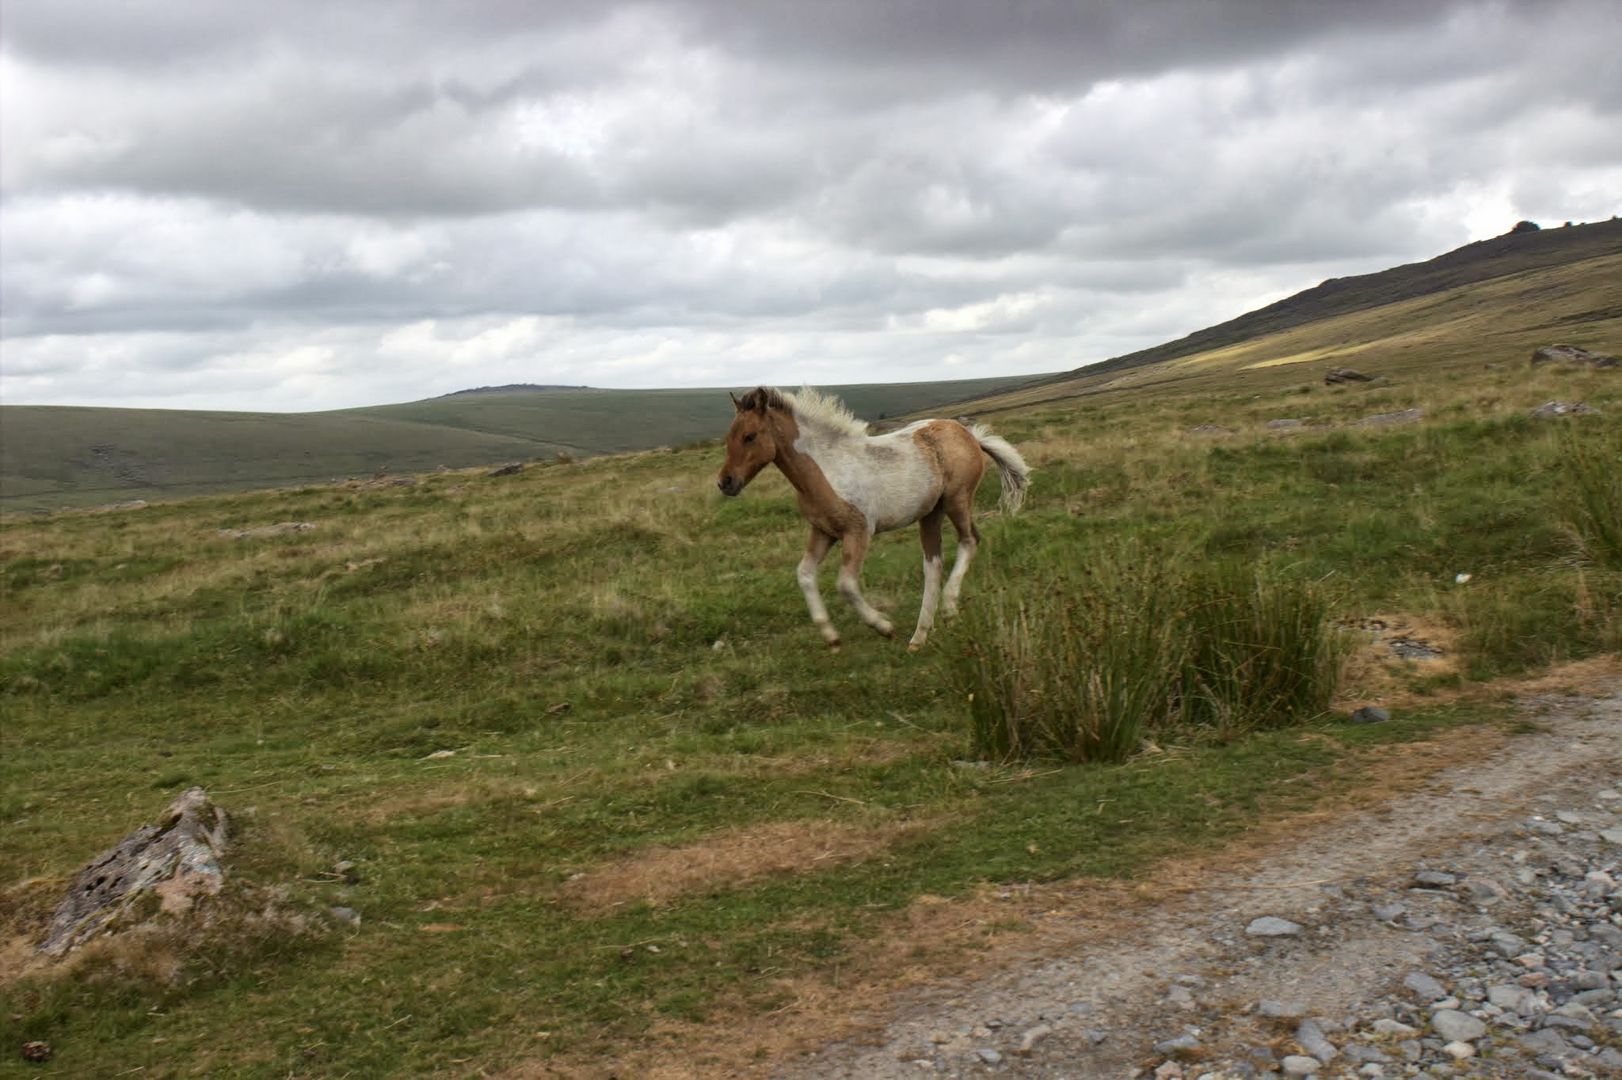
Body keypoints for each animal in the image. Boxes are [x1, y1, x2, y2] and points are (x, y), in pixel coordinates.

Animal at [720, 390, 1031, 651]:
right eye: (728, 438)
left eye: (750, 436)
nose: (725, 483)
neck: (826, 468)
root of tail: (969, 435)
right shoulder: (822, 531)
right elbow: (804, 574)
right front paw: (831, 637)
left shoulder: (858, 531)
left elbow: (845, 585)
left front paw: (883, 626)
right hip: (930, 513)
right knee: (933, 563)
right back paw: (919, 636)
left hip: (957, 500)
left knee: (969, 541)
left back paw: (948, 609)